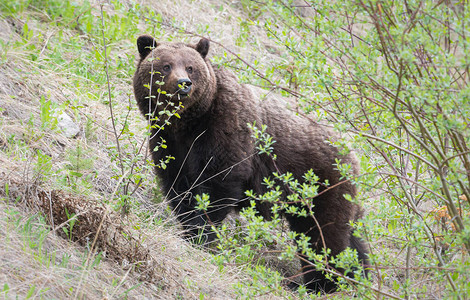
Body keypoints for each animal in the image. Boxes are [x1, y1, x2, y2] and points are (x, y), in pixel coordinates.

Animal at [131, 34, 368, 292]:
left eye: (191, 67)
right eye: (166, 66)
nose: (184, 83)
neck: (187, 123)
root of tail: (353, 154)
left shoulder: (227, 129)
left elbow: (218, 185)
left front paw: (201, 234)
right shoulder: (169, 143)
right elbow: (180, 187)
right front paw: (188, 227)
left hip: (321, 183)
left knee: (324, 234)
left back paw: (320, 283)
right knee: (351, 238)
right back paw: (357, 277)